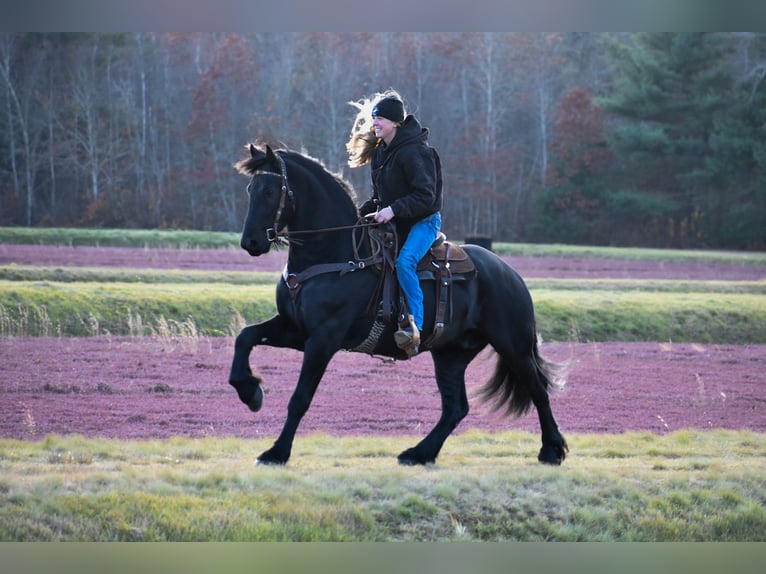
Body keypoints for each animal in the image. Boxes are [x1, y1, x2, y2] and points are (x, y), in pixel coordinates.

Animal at [228, 143, 568, 466]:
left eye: (270, 191)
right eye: (250, 189)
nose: (251, 242)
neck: (335, 255)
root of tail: (510, 273)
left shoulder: (323, 338)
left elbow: (300, 398)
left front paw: (276, 452)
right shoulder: (296, 329)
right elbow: (245, 337)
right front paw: (249, 390)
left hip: (513, 345)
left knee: (538, 390)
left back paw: (552, 449)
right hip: (451, 354)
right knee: (455, 407)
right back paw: (420, 453)